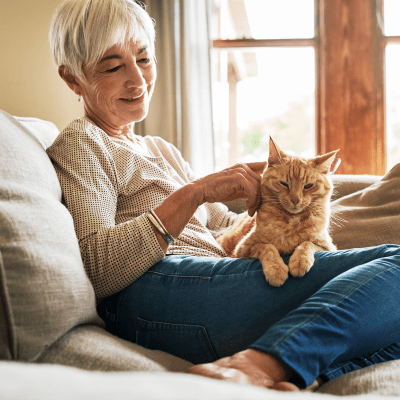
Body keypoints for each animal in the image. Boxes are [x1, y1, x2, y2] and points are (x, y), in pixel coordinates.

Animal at [217, 138, 340, 288]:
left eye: (308, 186)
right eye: (284, 184)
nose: (295, 200)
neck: (291, 220)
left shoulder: (327, 246)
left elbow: (306, 244)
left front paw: (299, 261)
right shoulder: (243, 248)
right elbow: (268, 247)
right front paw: (276, 271)